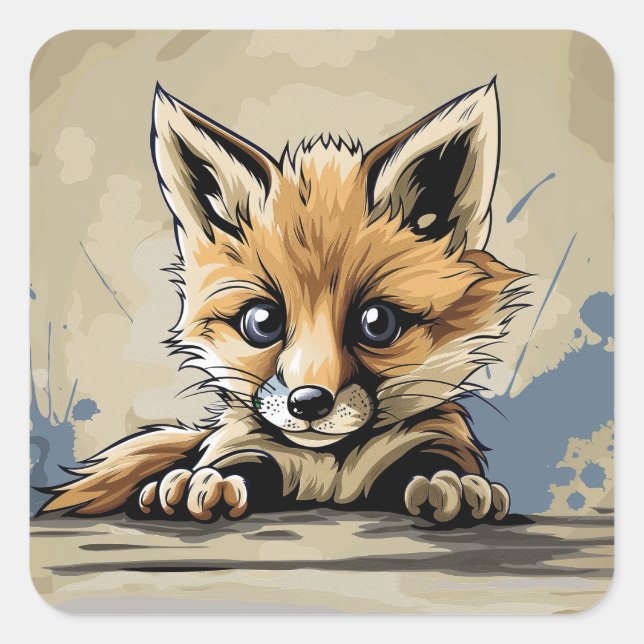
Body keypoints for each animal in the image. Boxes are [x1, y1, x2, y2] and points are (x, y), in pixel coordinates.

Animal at [40, 78, 527, 525]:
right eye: (262, 322)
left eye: (377, 323)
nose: (309, 403)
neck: (331, 470)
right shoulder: (252, 447)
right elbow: (225, 465)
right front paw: (204, 483)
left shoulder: (428, 438)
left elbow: (438, 464)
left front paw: (454, 484)